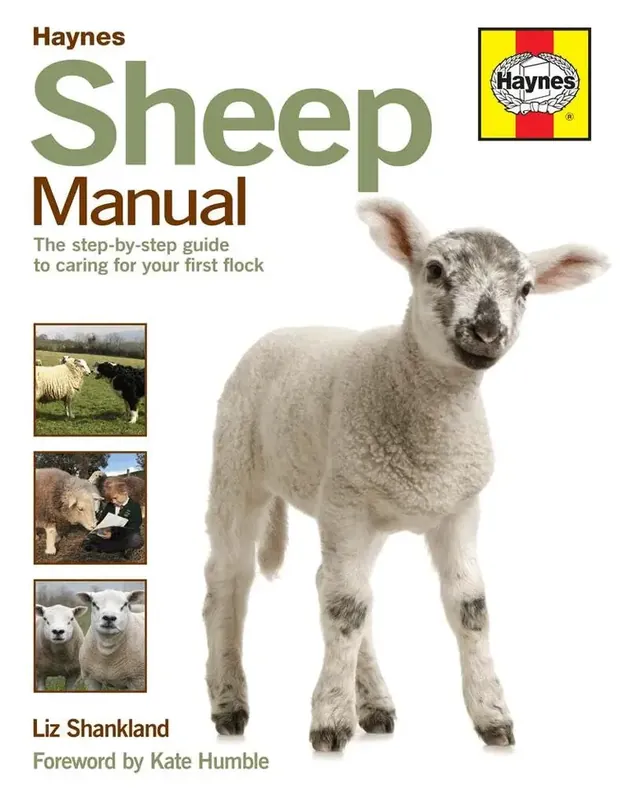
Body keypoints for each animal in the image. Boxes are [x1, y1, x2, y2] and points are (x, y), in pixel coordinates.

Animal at [203, 198, 610, 751]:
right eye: (435, 270)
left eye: (526, 289)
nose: (488, 332)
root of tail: (282, 331)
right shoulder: (347, 503)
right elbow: (346, 608)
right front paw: (330, 720)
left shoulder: (458, 508)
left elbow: (469, 606)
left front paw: (492, 715)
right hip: (238, 466)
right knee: (229, 580)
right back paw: (230, 703)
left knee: (331, 584)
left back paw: (374, 703)